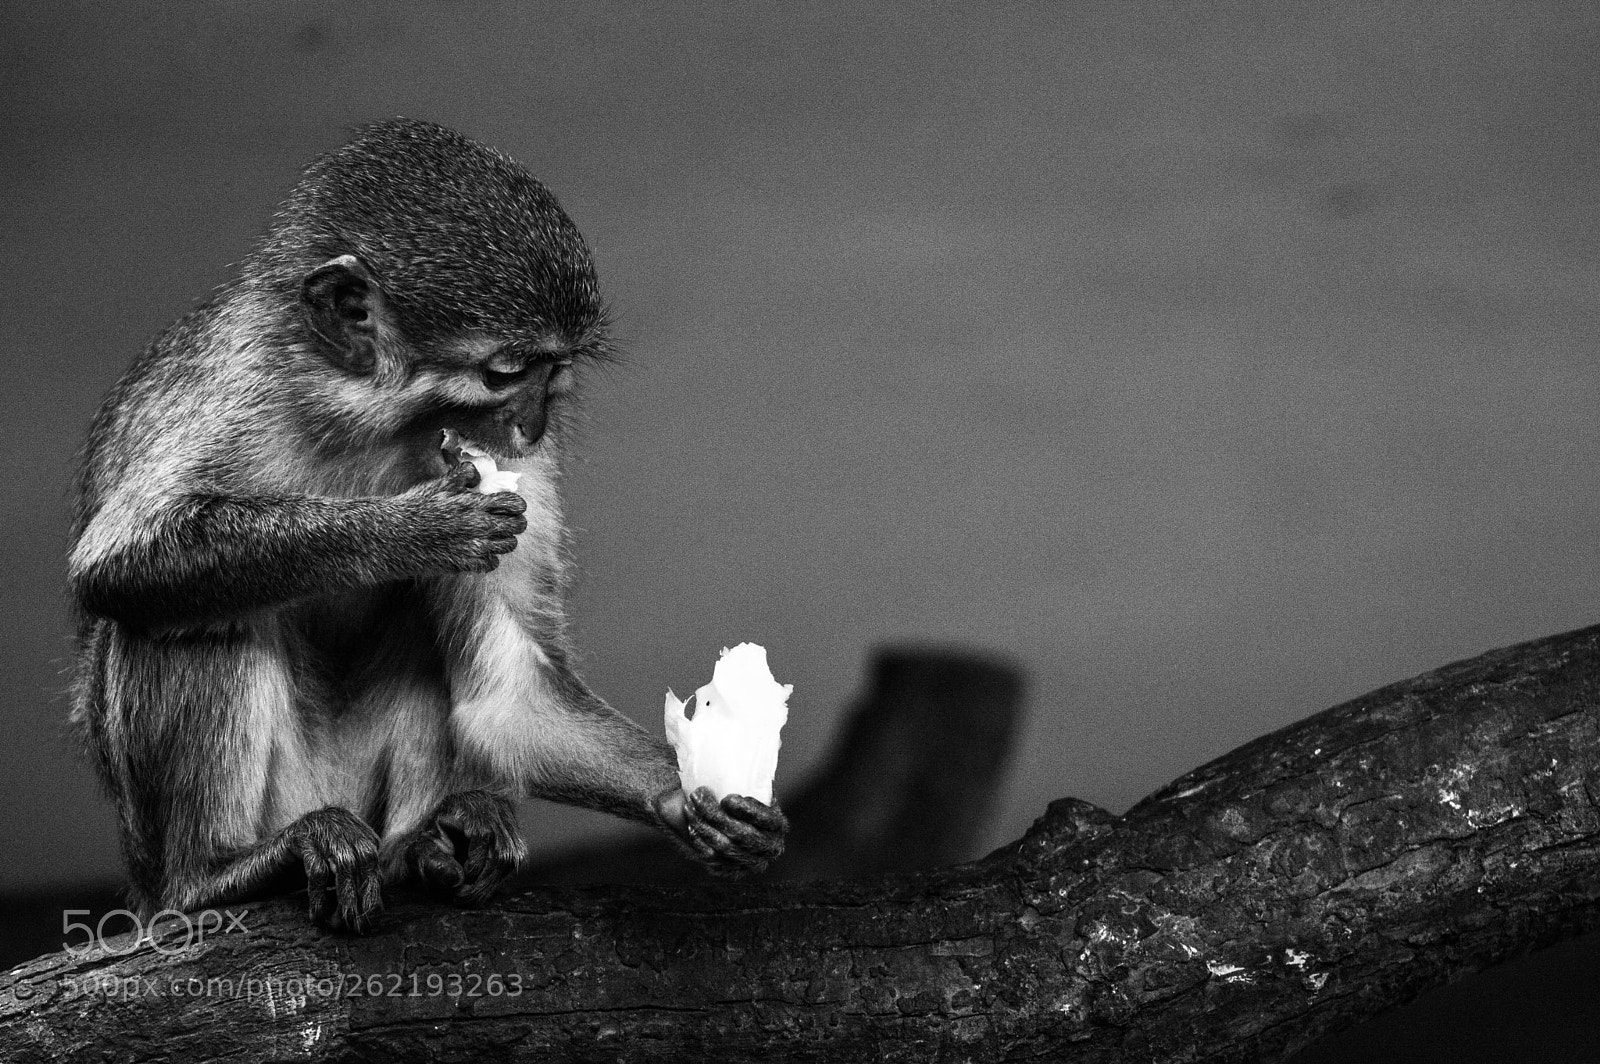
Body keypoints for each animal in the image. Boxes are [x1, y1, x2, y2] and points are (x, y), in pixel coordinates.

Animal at [67, 119, 788, 932]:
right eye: (505, 373)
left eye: (556, 372)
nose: (532, 426)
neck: (371, 419)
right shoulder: (242, 387)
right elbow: (120, 559)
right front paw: (411, 531)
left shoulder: (516, 468)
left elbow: (510, 699)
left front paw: (685, 797)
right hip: (196, 835)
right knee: (189, 621)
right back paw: (214, 873)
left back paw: (426, 846)